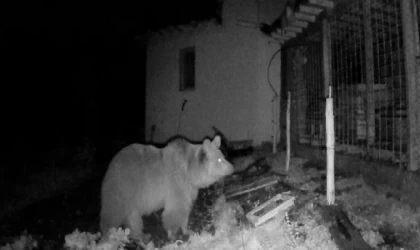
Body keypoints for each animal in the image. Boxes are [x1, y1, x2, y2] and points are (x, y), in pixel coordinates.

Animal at [100, 136, 235, 241]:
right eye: (219, 160)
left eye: (223, 156)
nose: (232, 168)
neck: (189, 173)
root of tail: (110, 166)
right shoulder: (176, 185)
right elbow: (174, 211)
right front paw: (173, 234)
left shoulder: (189, 189)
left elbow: (186, 210)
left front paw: (187, 230)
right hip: (121, 188)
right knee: (112, 214)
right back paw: (110, 236)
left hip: (131, 202)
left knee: (133, 219)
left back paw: (141, 236)